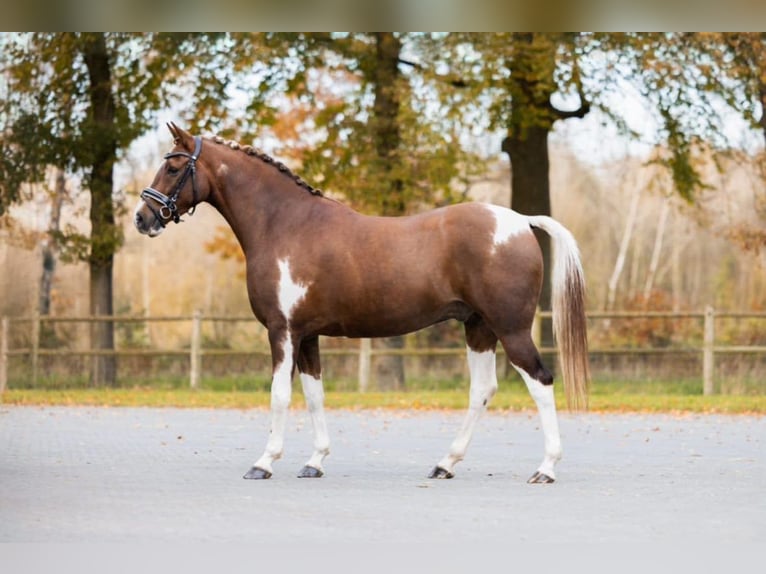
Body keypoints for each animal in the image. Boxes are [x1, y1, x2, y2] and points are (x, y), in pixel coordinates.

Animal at [135, 124, 592, 484]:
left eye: (173, 167)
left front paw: (264, 462)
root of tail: (520, 221)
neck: (284, 224)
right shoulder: (307, 336)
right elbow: (314, 395)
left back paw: (545, 468)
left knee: (540, 381)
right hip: (478, 327)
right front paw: (314, 462)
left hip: (511, 328)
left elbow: (279, 395)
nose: (143, 218)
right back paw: (445, 464)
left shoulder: (282, 332)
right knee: (483, 390)